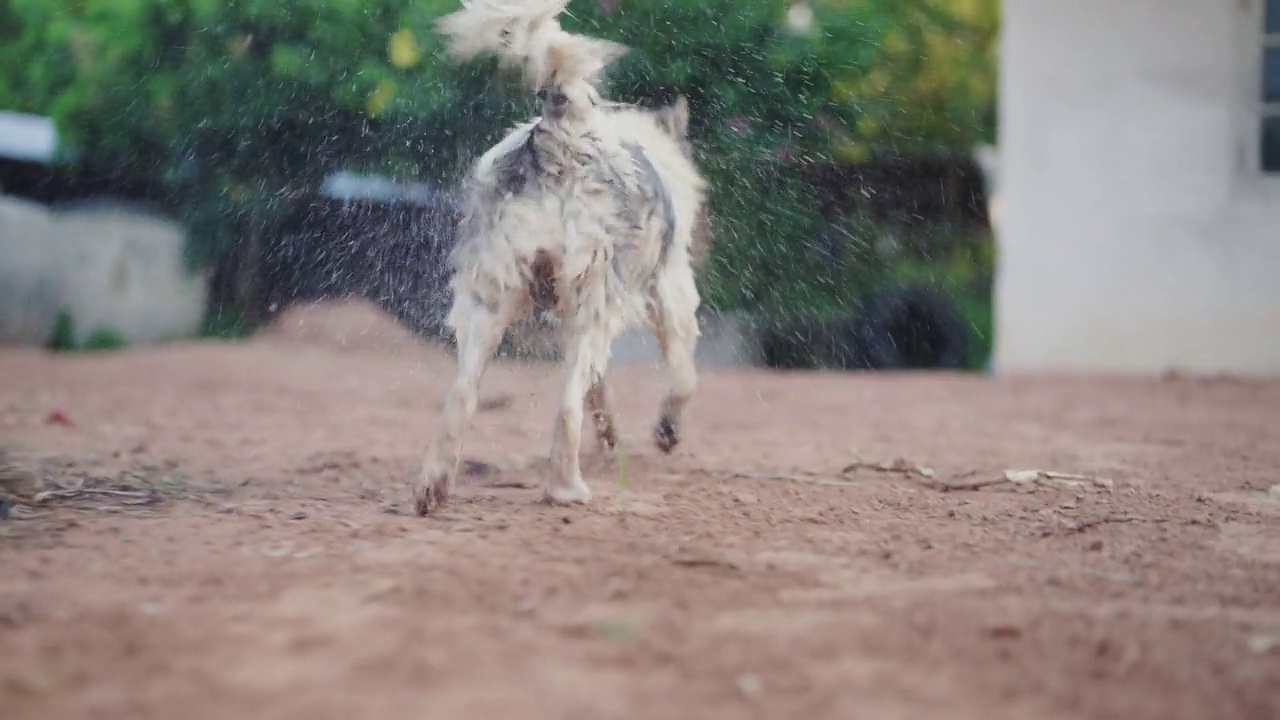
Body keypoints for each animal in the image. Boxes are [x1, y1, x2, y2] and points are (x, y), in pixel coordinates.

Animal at [414, 1, 711, 515]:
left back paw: (433, 488)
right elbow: (682, 376)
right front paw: (667, 431)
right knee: (566, 409)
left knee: (463, 395)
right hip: (593, 303)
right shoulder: (671, 290)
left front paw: (613, 437)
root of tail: (561, 133)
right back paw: (566, 489)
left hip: (488, 302)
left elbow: (601, 390)